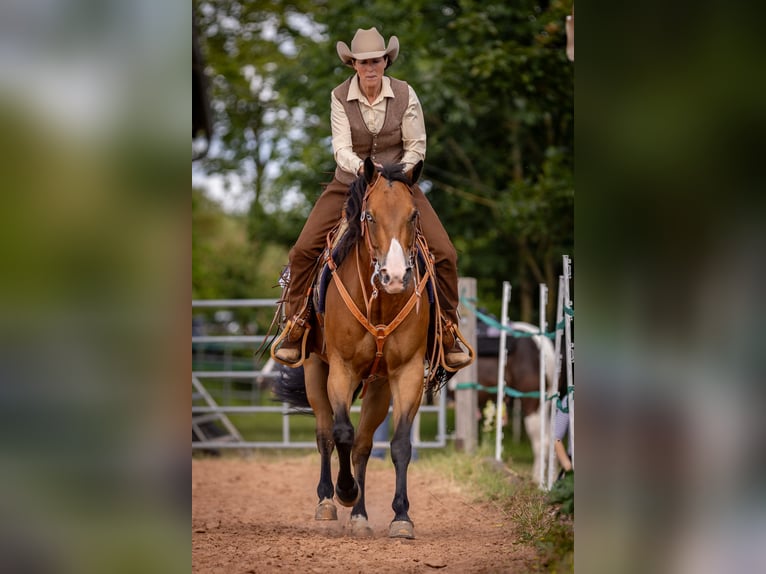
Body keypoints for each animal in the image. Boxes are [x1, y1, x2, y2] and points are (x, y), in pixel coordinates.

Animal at [272, 158, 439, 539]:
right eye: (370, 216)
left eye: (413, 216)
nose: (395, 277)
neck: (381, 304)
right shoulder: (341, 369)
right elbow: (341, 432)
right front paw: (344, 491)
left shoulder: (406, 372)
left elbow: (399, 444)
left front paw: (401, 516)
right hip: (315, 371)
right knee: (325, 434)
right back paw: (328, 501)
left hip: (378, 386)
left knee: (363, 446)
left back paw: (360, 515)